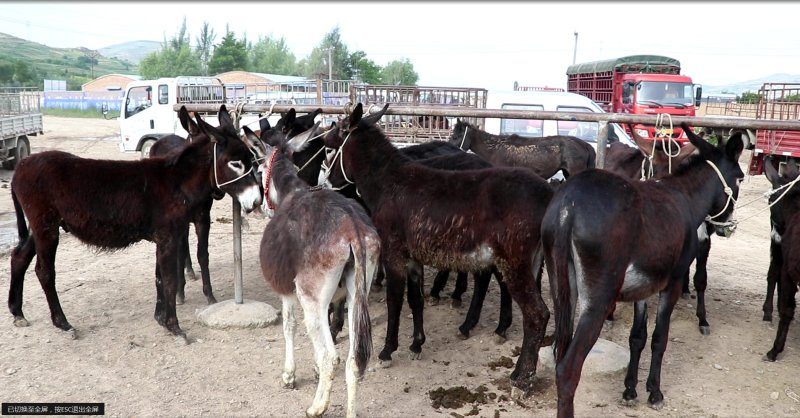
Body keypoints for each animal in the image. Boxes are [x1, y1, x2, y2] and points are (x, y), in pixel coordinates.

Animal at [8, 106, 263, 340]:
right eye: (235, 164)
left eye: (251, 159)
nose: (257, 201)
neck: (177, 183)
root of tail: (20, 167)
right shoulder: (169, 237)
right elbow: (170, 279)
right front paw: (175, 326)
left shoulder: (165, 237)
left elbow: (159, 277)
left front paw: (160, 319)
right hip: (46, 227)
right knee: (44, 271)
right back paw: (63, 323)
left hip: (42, 227)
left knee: (19, 256)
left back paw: (17, 313)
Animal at [246, 123, 380, 418]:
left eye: (259, 169)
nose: (260, 207)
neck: (290, 190)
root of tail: (353, 228)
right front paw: (315, 371)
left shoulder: (287, 291)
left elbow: (289, 325)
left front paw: (289, 375)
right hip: (358, 293)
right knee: (352, 360)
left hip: (311, 296)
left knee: (332, 356)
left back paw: (317, 406)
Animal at [322, 103, 554, 396]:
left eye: (332, 145)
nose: (327, 184)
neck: (389, 182)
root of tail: (548, 196)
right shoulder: (413, 257)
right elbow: (415, 299)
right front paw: (416, 344)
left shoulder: (394, 253)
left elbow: (395, 300)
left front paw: (387, 350)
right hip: (529, 262)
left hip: (513, 261)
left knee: (537, 314)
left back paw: (521, 379)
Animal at [541, 122, 744, 417]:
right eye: (741, 179)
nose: (725, 227)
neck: (685, 196)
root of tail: (569, 204)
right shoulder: (672, 283)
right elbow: (660, 337)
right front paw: (654, 392)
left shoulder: (644, 287)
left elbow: (637, 337)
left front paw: (630, 389)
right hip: (598, 300)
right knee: (568, 369)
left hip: (562, 289)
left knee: (560, 351)